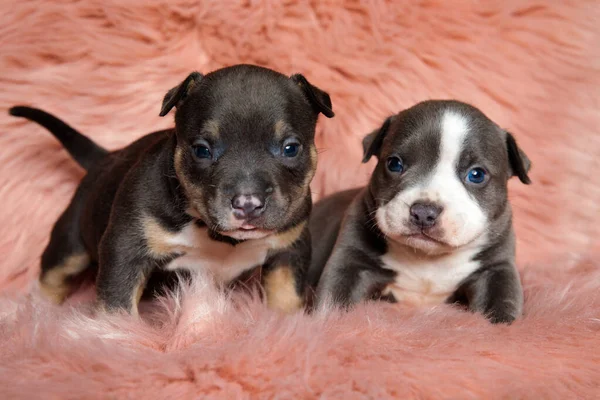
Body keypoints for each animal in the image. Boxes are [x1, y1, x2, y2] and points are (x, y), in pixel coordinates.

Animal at [9, 64, 336, 314]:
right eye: (202, 150)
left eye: (290, 148)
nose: (247, 203)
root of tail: (107, 156)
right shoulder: (125, 250)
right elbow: (117, 306)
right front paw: (115, 336)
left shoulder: (290, 251)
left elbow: (286, 297)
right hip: (71, 242)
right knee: (53, 275)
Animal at [310, 101, 528, 324]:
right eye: (394, 164)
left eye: (477, 175)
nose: (424, 212)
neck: (426, 257)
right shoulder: (351, 260)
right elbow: (335, 299)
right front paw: (329, 320)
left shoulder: (496, 269)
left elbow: (501, 305)